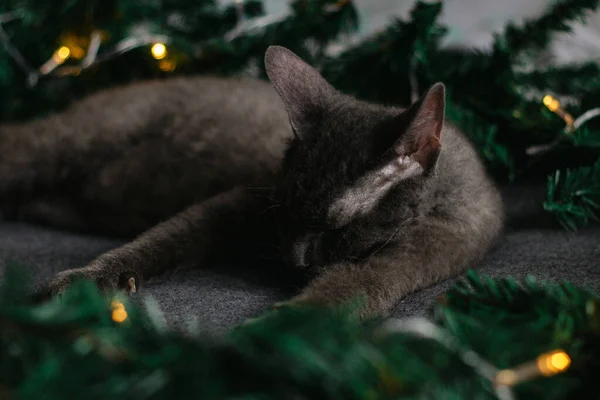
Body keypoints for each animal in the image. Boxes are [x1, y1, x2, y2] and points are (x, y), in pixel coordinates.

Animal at [0, 44, 504, 318]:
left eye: (336, 229)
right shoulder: (235, 203)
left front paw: (279, 329)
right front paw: (87, 280)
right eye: (283, 216)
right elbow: (159, 240)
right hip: (63, 145)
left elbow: (353, 287)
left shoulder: (423, 254)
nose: (293, 259)